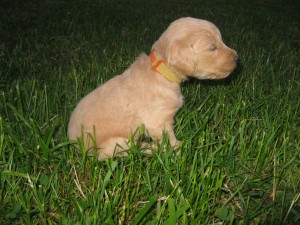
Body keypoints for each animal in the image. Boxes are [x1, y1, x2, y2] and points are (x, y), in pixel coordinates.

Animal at [68, 17, 239, 160]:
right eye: (212, 48)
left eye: (221, 41)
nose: (238, 58)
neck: (161, 71)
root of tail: (74, 147)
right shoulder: (157, 122)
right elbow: (169, 138)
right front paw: (178, 150)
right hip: (115, 144)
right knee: (132, 149)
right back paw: (153, 148)